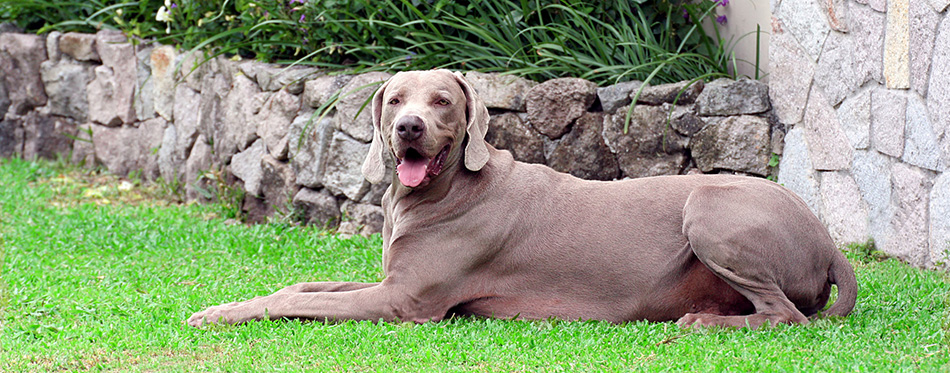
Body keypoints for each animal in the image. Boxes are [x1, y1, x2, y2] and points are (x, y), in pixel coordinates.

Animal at [190, 68, 860, 326]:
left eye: (441, 101)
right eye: (396, 98)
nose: (407, 127)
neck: (443, 192)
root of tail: (829, 240)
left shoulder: (406, 302)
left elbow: (292, 302)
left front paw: (214, 314)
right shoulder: (388, 281)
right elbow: (302, 287)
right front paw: (226, 304)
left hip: (711, 210)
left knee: (786, 315)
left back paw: (702, 322)